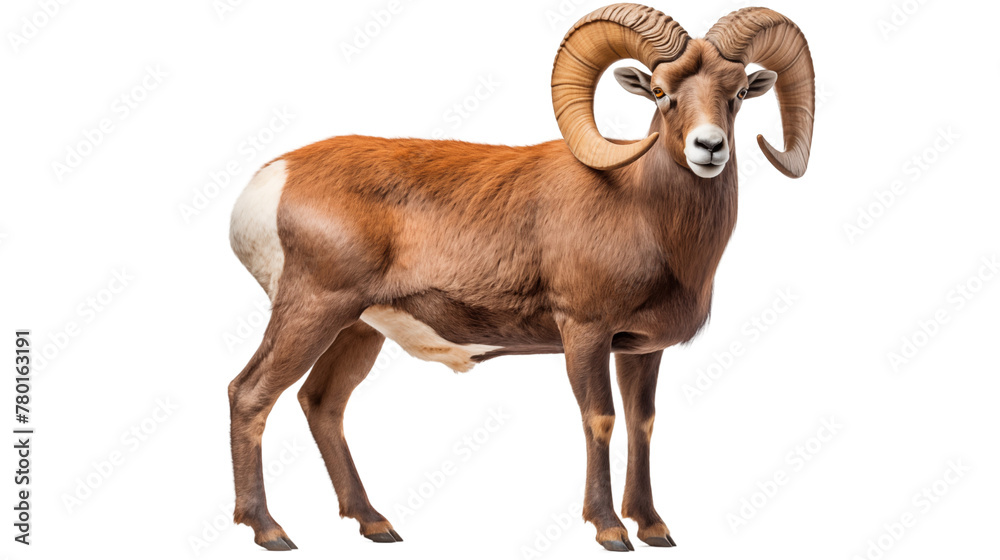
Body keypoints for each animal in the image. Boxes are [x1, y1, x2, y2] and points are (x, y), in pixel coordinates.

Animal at [227, 3, 814, 552]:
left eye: (738, 93)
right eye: (660, 92)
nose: (709, 147)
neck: (641, 211)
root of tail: (269, 183)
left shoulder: (641, 350)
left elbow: (641, 424)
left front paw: (653, 527)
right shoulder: (584, 334)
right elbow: (600, 419)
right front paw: (610, 530)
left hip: (357, 330)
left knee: (322, 404)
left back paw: (375, 524)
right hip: (312, 312)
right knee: (250, 395)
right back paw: (269, 530)